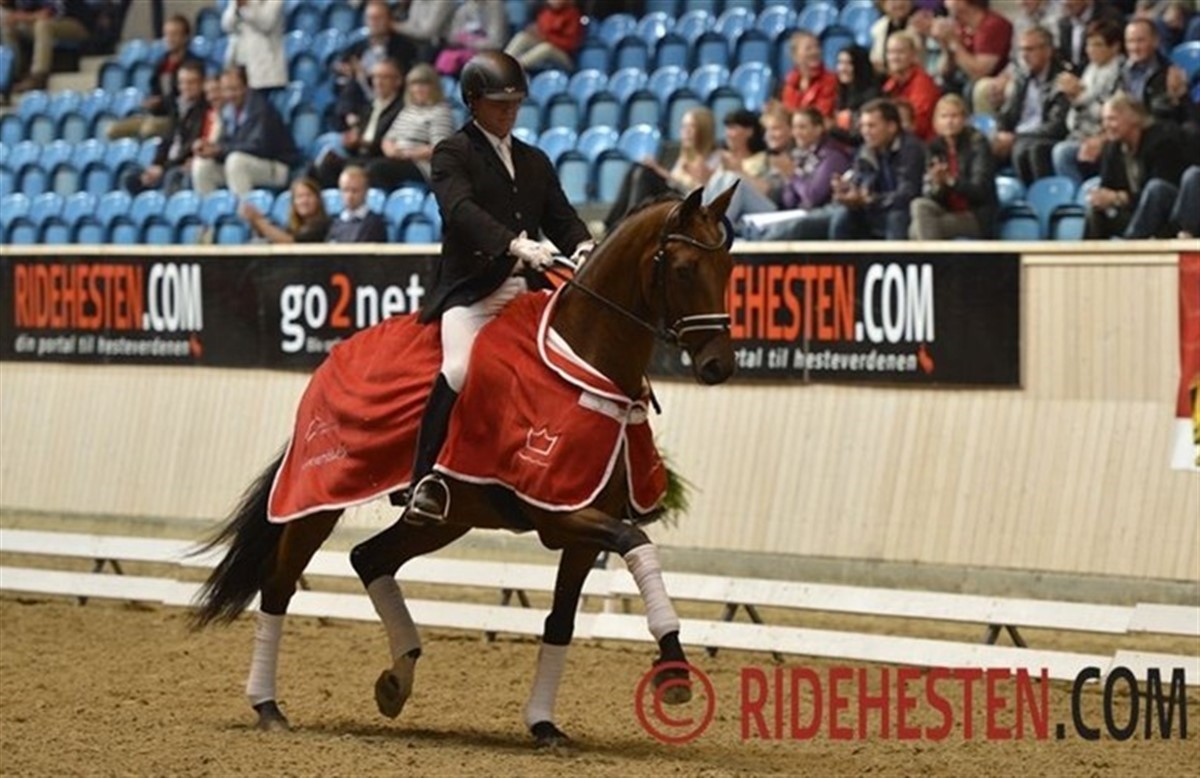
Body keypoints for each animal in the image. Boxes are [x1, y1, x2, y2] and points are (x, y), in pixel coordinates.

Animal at [189, 183, 739, 749]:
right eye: (683, 269)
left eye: (728, 267)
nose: (719, 365)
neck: (585, 360)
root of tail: (335, 356)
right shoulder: (559, 512)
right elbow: (637, 542)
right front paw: (673, 669)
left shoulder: (584, 527)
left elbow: (562, 621)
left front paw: (544, 724)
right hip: (319, 496)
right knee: (279, 584)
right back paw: (269, 706)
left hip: (447, 518)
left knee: (369, 558)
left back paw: (398, 678)